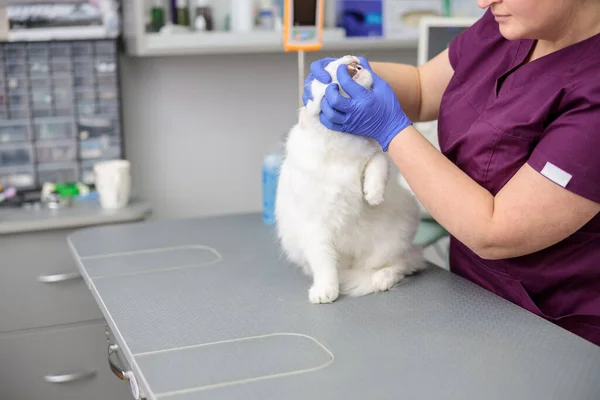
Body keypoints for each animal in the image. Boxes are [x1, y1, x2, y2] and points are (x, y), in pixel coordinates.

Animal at [276, 54, 426, 304]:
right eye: (328, 67)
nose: (350, 57)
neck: (343, 139)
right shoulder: (316, 228)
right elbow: (325, 265)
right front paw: (326, 292)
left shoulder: (377, 153)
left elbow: (377, 166)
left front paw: (372, 196)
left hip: (393, 241)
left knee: (403, 264)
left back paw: (382, 279)